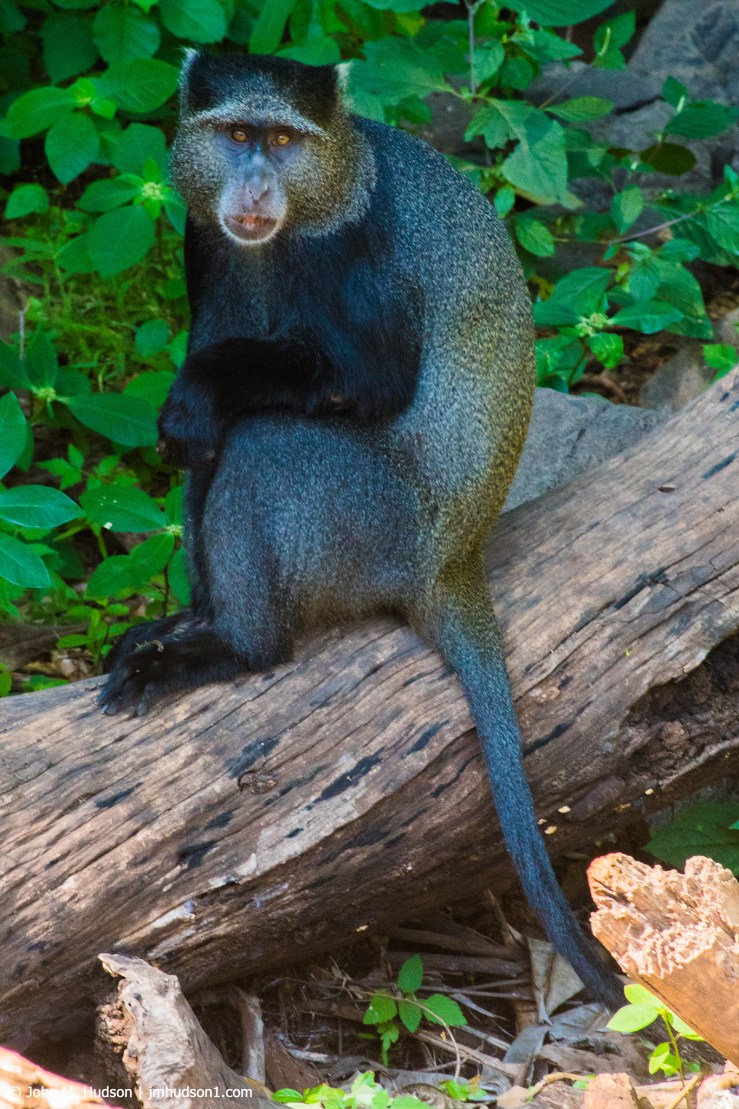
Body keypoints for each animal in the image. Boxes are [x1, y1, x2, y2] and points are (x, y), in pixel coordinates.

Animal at [99, 51, 622, 1009]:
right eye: (238, 134)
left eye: (281, 140)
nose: (255, 182)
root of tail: (449, 560)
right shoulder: (206, 244)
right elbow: (210, 393)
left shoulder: (353, 255)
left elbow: (362, 377)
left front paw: (201, 392)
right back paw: (201, 621)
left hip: (371, 522)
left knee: (265, 439)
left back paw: (238, 645)